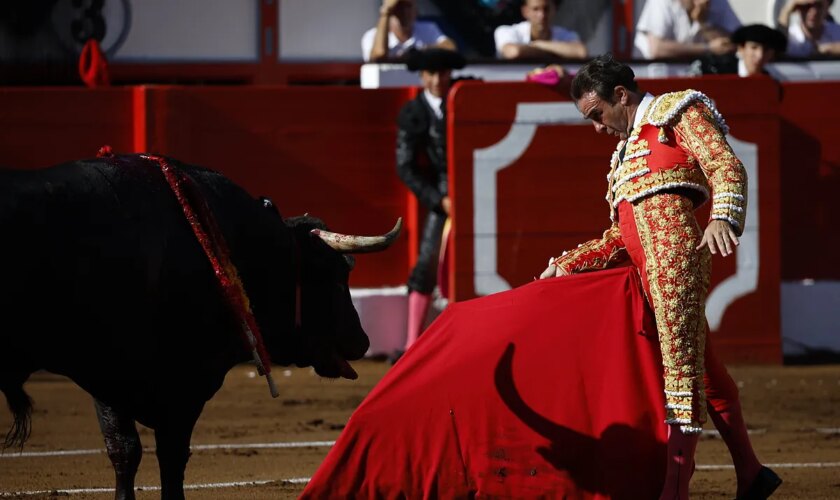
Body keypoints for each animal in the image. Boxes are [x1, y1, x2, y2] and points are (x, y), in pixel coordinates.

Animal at [0, 154, 400, 498]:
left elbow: (125, 452)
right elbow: (166, 458)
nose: (363, 340)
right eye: (335, 275)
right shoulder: (178, 383)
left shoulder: (110, 378)